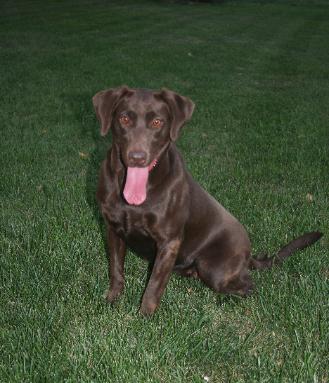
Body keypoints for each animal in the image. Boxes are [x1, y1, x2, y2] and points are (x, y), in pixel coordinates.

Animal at [91, 86, 320, 316]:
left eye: (157, 122)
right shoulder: (113, 229)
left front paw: (144, 316)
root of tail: (248, 254)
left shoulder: (169, 242)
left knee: (248, 286)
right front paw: (112, 300)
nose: (137, 157)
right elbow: (116, 269)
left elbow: (154, 284)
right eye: (124, 118)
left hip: (214, 268)